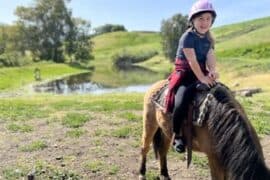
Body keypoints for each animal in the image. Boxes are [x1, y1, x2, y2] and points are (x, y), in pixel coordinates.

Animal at [139, 80, 270, 180]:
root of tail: (156, 85)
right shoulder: (213, 158)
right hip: (149, 124)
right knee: (145, 148)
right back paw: (142, 174)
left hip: (167, 132)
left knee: (162, 151)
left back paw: (165, 175)